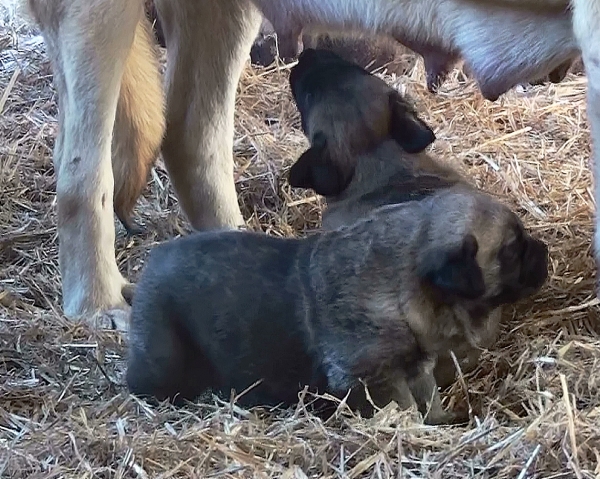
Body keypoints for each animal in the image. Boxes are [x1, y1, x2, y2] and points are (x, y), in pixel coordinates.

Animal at [126, 189, 548, 426]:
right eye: (512, 250)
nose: (543, 249)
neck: (407, 286)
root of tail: (151, 263)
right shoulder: (375, 379)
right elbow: (405, 408)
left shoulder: (416, 367)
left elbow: (428, 399)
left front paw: (443, 421)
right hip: (162, 356)